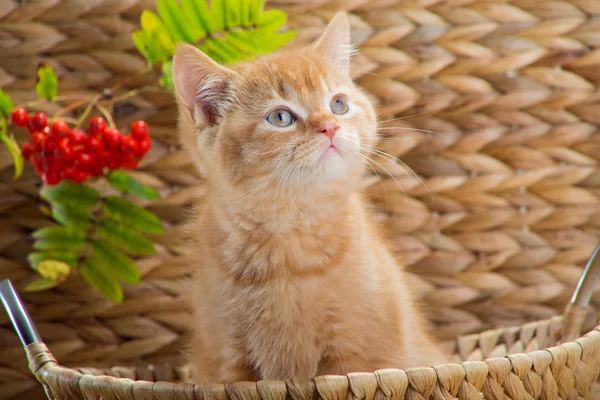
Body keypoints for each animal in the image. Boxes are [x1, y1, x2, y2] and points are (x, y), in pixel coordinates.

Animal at [172, 10, 446, 382]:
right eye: (281, 117)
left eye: (338, 104)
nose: (330, 126)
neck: (290, 237)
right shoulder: (226, 361)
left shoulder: (357, 357)